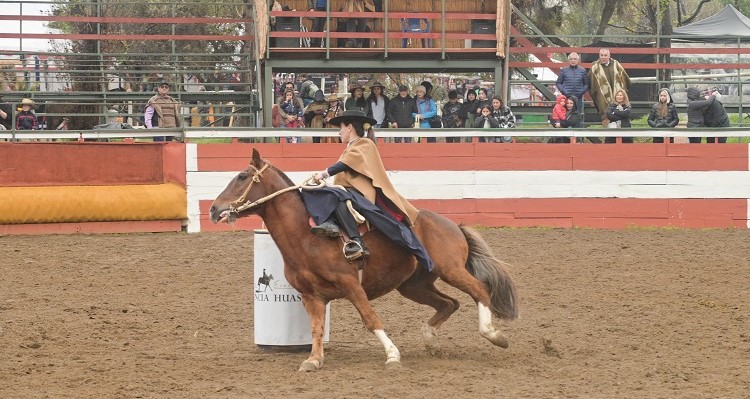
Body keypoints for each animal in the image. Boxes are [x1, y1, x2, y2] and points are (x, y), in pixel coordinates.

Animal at [209, 149, 520, 372]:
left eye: (241, 176)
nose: (213, 209)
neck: (306, 235)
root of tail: (453, 224)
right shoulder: (311, 296)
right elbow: (316, 328)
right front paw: (313, 360)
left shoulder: (352, 286)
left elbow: (371, 320)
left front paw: (392, 355)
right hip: (414, 286)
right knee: (449, 303)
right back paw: (431, 340)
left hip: (451, 270)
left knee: (480, 290)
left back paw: (494, 335)